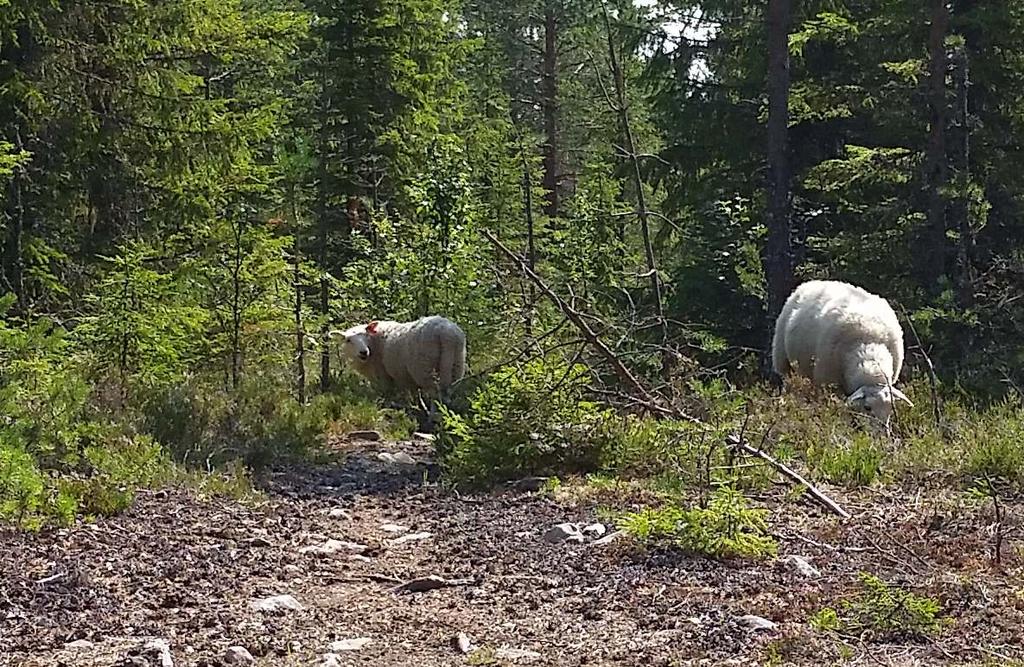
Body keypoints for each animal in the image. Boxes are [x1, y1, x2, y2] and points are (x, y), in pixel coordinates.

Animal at [329, 313, 466, 428]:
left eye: (366, 336)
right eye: (348, 340)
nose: (363, 352)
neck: (374, 343)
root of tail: (446, 334)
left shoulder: (382, 375)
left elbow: (387, 393)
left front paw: (385, 409)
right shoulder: (407, 377)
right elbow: (414, 394)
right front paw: (416, 408)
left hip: (425, 367)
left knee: (435, 394)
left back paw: (432, 419)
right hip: (455, 366)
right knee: (446, 393)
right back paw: (444, 417)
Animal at [770, 280, 913, 428]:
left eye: (890, 408)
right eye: (868, 407)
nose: (883, 432)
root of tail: (812, 282)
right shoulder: (827, 381)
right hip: (783, 362)